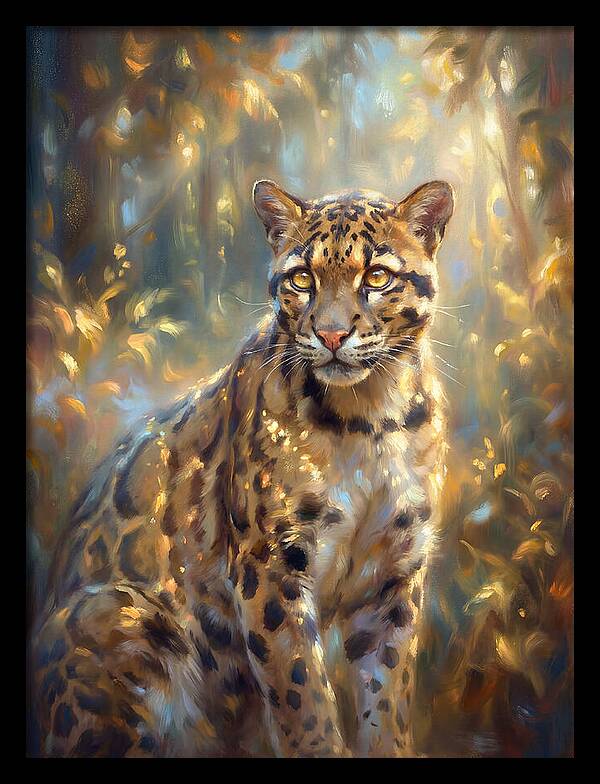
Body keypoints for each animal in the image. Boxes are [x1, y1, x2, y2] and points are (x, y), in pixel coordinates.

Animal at [30, 177, 454, 757]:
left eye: (376, 276)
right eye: (302, 278)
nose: (332, 335)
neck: (370, 419)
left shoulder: (394, 574)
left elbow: (386, 697)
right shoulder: (270, 565)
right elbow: (302, 696)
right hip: (120, 614)